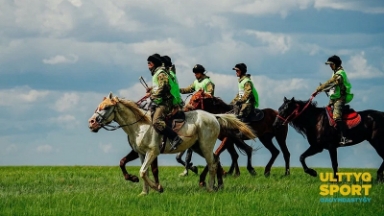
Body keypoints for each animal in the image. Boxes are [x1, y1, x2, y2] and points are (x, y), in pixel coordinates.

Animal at [87, 92, 255, 195]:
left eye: (106, 107)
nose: (91, 123)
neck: (140, 125)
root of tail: (214, 116)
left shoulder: (152, 152)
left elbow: (143, 172)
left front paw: (157, 188)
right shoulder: (141, 153)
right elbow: (141, 170)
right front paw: (144, 192)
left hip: (205, 146)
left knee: (212, 164)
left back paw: (209, 188)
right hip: (198, 147)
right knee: (216, 159)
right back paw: (217, 185)